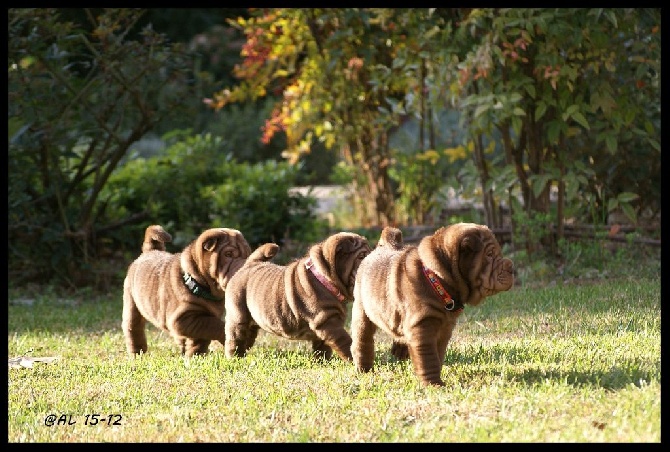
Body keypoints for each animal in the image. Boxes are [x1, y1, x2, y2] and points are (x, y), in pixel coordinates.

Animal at [122, 225, 276, 356]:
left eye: (248, 255)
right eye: (228, 254)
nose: (246, 267)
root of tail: (150, 251)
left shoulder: (196, 321)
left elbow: (201, 338)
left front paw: (195, 356)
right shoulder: (181, 319)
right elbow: (216, 326)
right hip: (131, 304)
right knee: (133, 329)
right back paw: (137, 354)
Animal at [226, 233, 372, 360]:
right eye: (362, 256)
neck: (325, 279)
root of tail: (248, 265)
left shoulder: (325, 324)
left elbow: (322, 347)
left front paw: (322, 361)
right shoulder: (328, 321)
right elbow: (346, 342)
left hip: (253, 322)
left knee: (247, 338)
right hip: (238, 315)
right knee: (235, 338)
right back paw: (234, 358)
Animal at [350, 222, 516, 384]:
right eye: (489, 254)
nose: (511, 266)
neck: (437, 279)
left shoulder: (444, 329)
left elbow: (438, 354)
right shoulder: (422, 327)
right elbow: (428, 359)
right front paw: (433, 384)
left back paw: (400, 350)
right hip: (362, 311)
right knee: (362, 341)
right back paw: (364, 369)